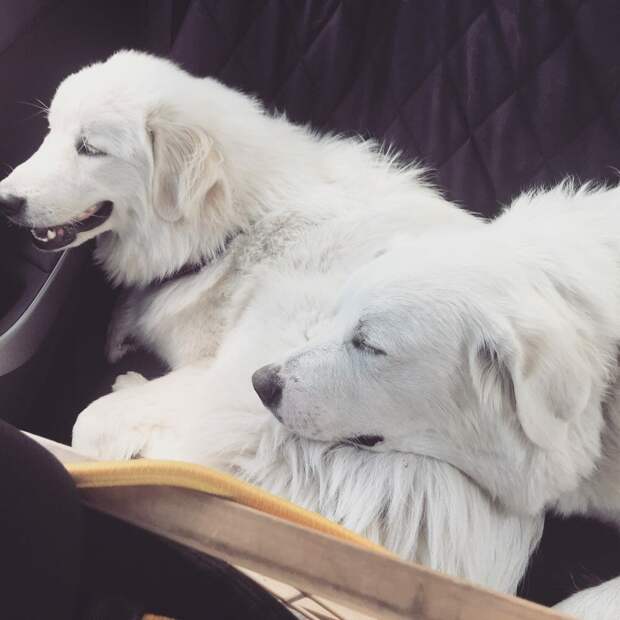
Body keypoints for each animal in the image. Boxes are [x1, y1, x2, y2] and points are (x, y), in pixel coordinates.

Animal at [0, 49, 544, 596]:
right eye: (50, 131)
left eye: (89, 148)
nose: (6, 200)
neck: (234, 229)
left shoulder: (217, 369)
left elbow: (95, 423)